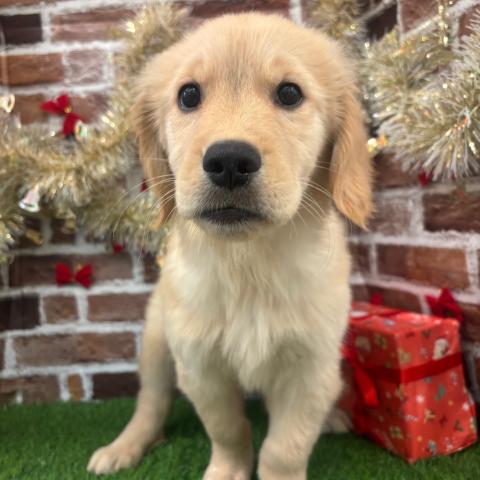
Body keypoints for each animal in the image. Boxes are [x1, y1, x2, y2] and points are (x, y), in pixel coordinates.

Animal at [87, 12, 372, 480]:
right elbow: (228, 428)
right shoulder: (201, 366)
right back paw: (123, 447)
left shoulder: (310, 367)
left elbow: (285, 447)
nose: (229, 162)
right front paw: (227, 470)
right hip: (156, 340)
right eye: (188, 95)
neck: (247, 260)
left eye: (289, 93)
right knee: (151, 402)